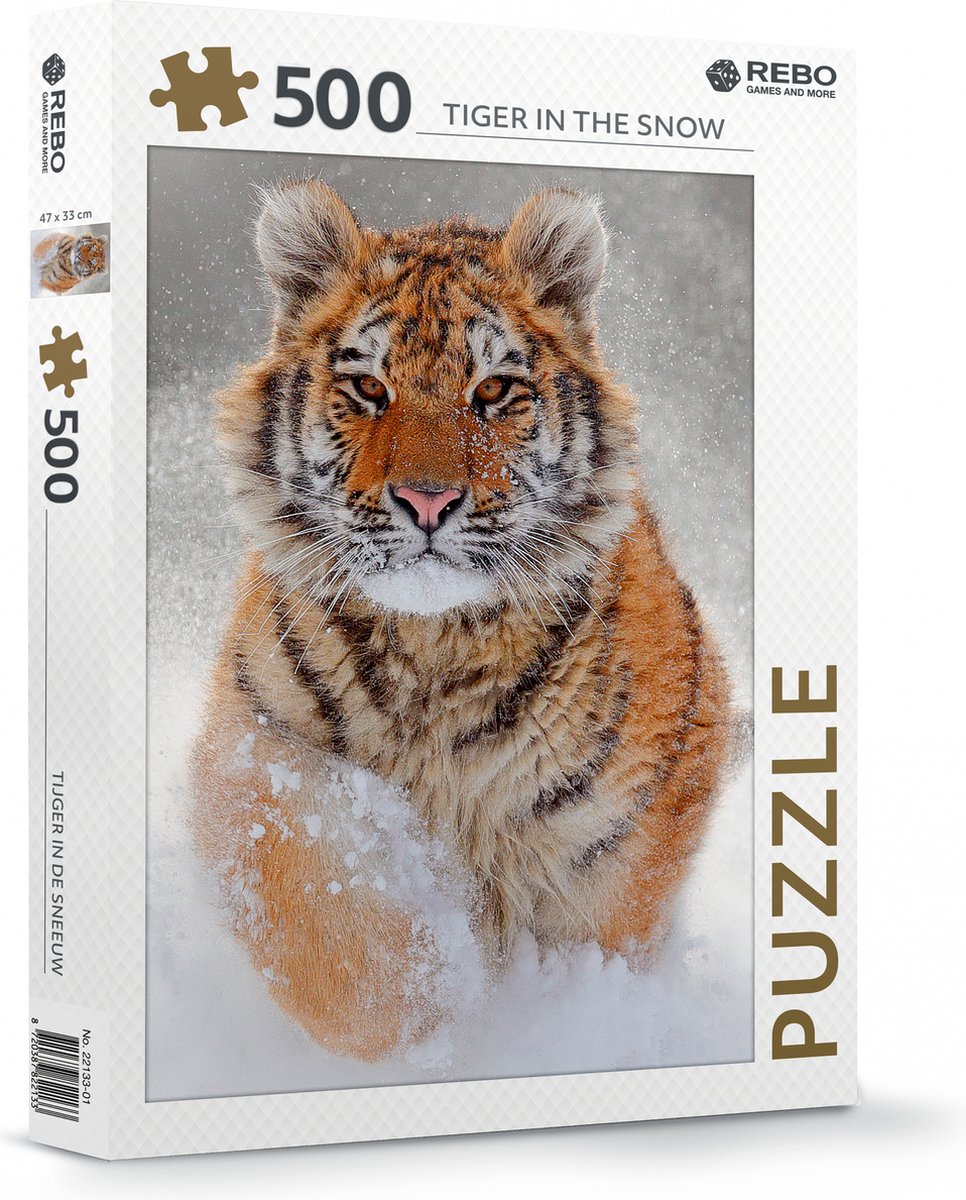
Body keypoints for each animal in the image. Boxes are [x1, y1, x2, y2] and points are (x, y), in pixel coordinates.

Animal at [191, 179, 733, 1062]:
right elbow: (325, 926)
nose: (427, 500)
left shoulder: (614, 841)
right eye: (369, 390)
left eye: (493, 392)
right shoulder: (255, 749)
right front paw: (429, 1007)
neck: (434, 650)